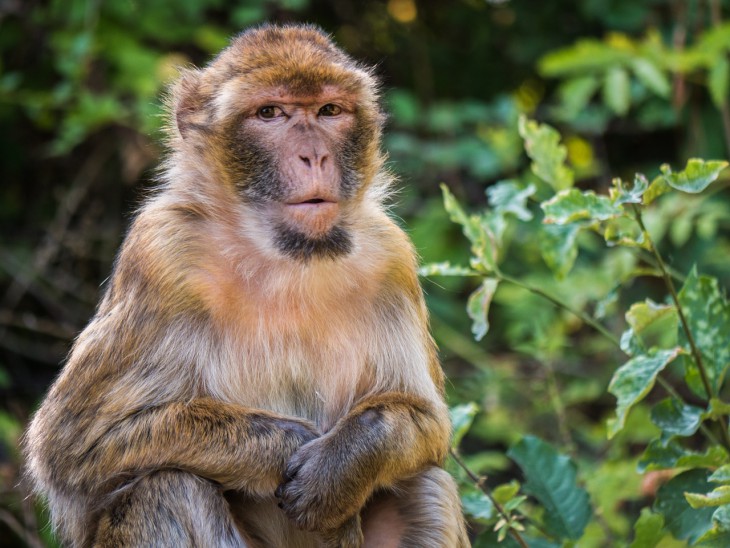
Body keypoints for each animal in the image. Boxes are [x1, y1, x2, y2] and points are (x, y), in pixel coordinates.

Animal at [24, 23, 466, 544]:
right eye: (270, 113)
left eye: (329, 111)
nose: (315, 155)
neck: (284, 255)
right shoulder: (162, 253)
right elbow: (73, 449)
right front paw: (285, 444)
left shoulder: (390, 258)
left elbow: (427, 424)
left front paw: (339, 466)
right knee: (166, 487)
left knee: (430, 485)